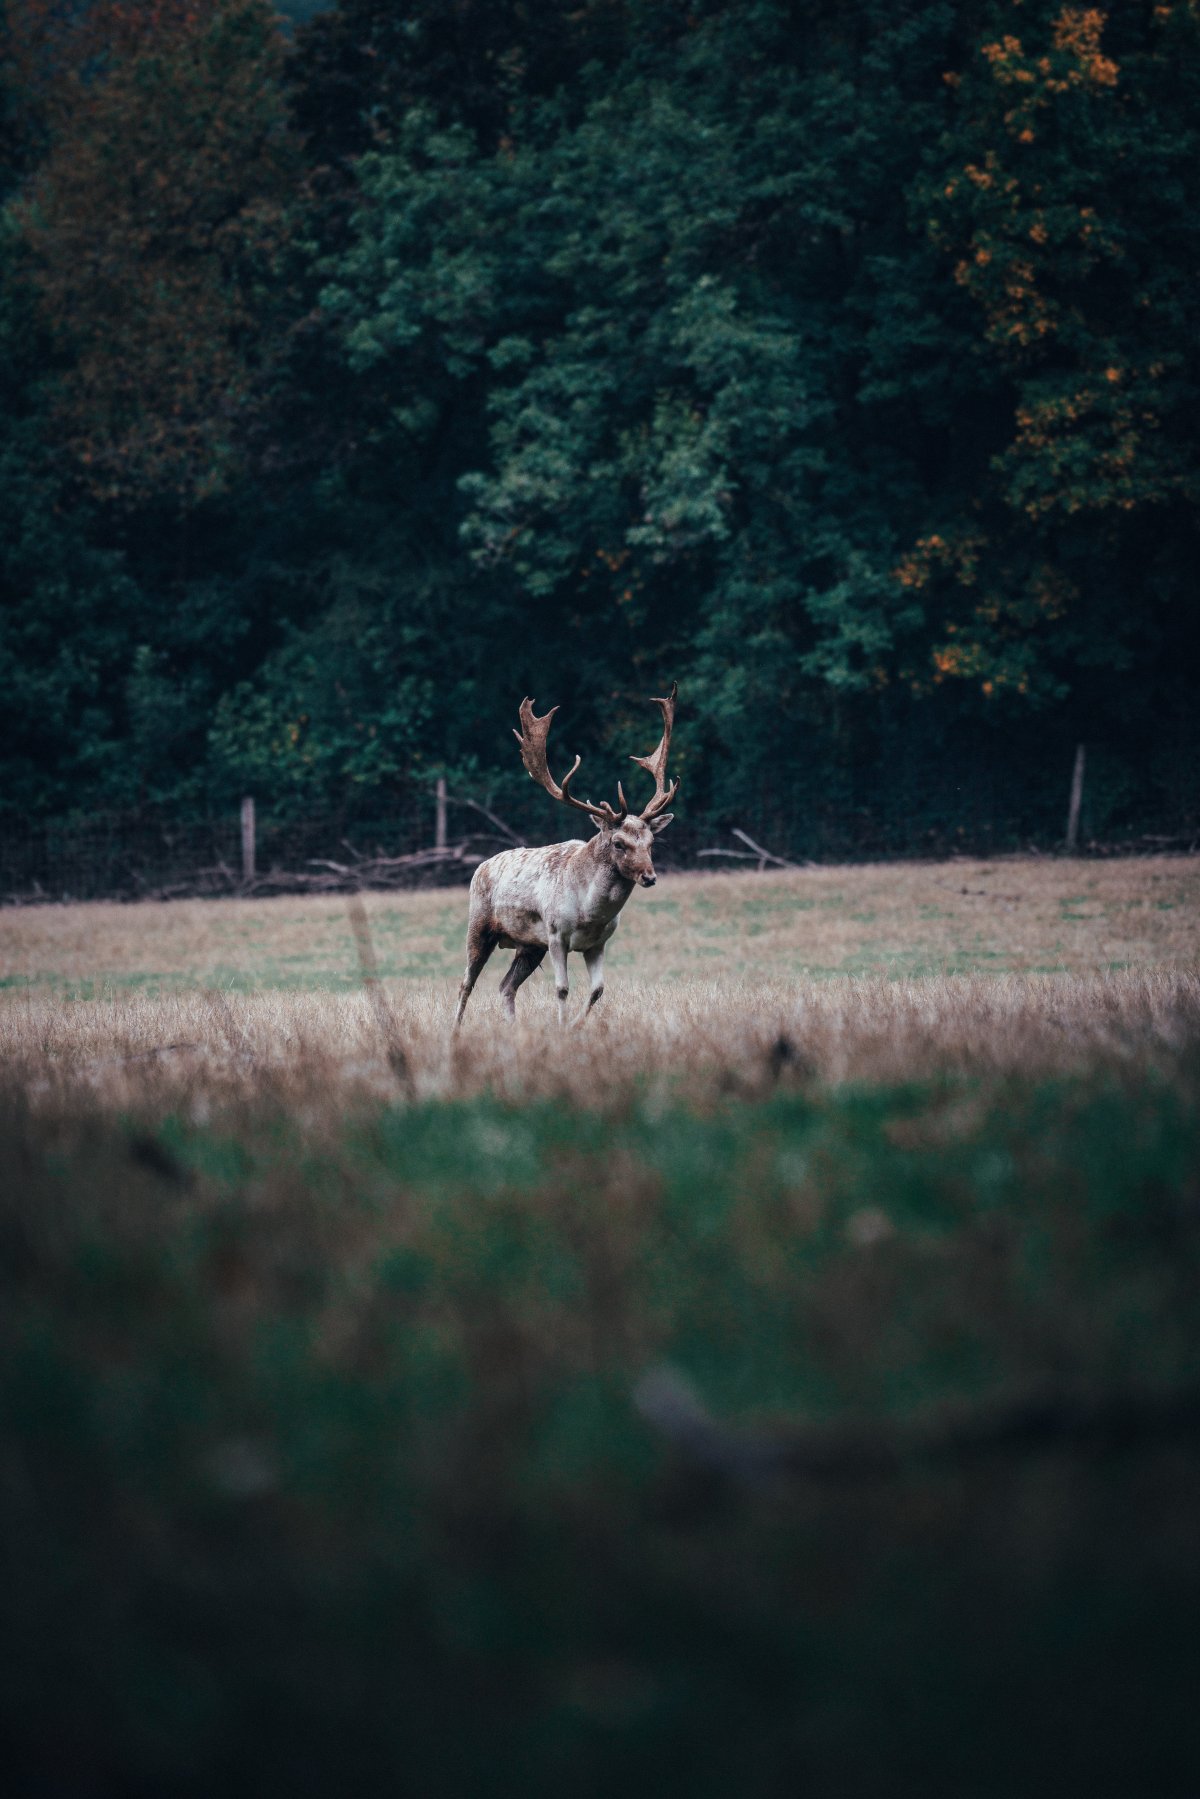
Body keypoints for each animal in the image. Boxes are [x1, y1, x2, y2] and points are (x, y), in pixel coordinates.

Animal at [453, 683, 680, 1029]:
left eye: (651, 842)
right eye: (618, 843)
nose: (649, 876)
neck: (590, 912)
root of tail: (481, 866)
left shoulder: (598, 943)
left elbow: (598, 990)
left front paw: (574, 1026)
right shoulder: (556, 933)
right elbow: (561, 988)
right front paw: (562, 1028)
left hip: (529, 946)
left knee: (505, 985)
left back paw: (514, 1029)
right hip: (479, 924)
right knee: (466, 982)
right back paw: (455, 1031)